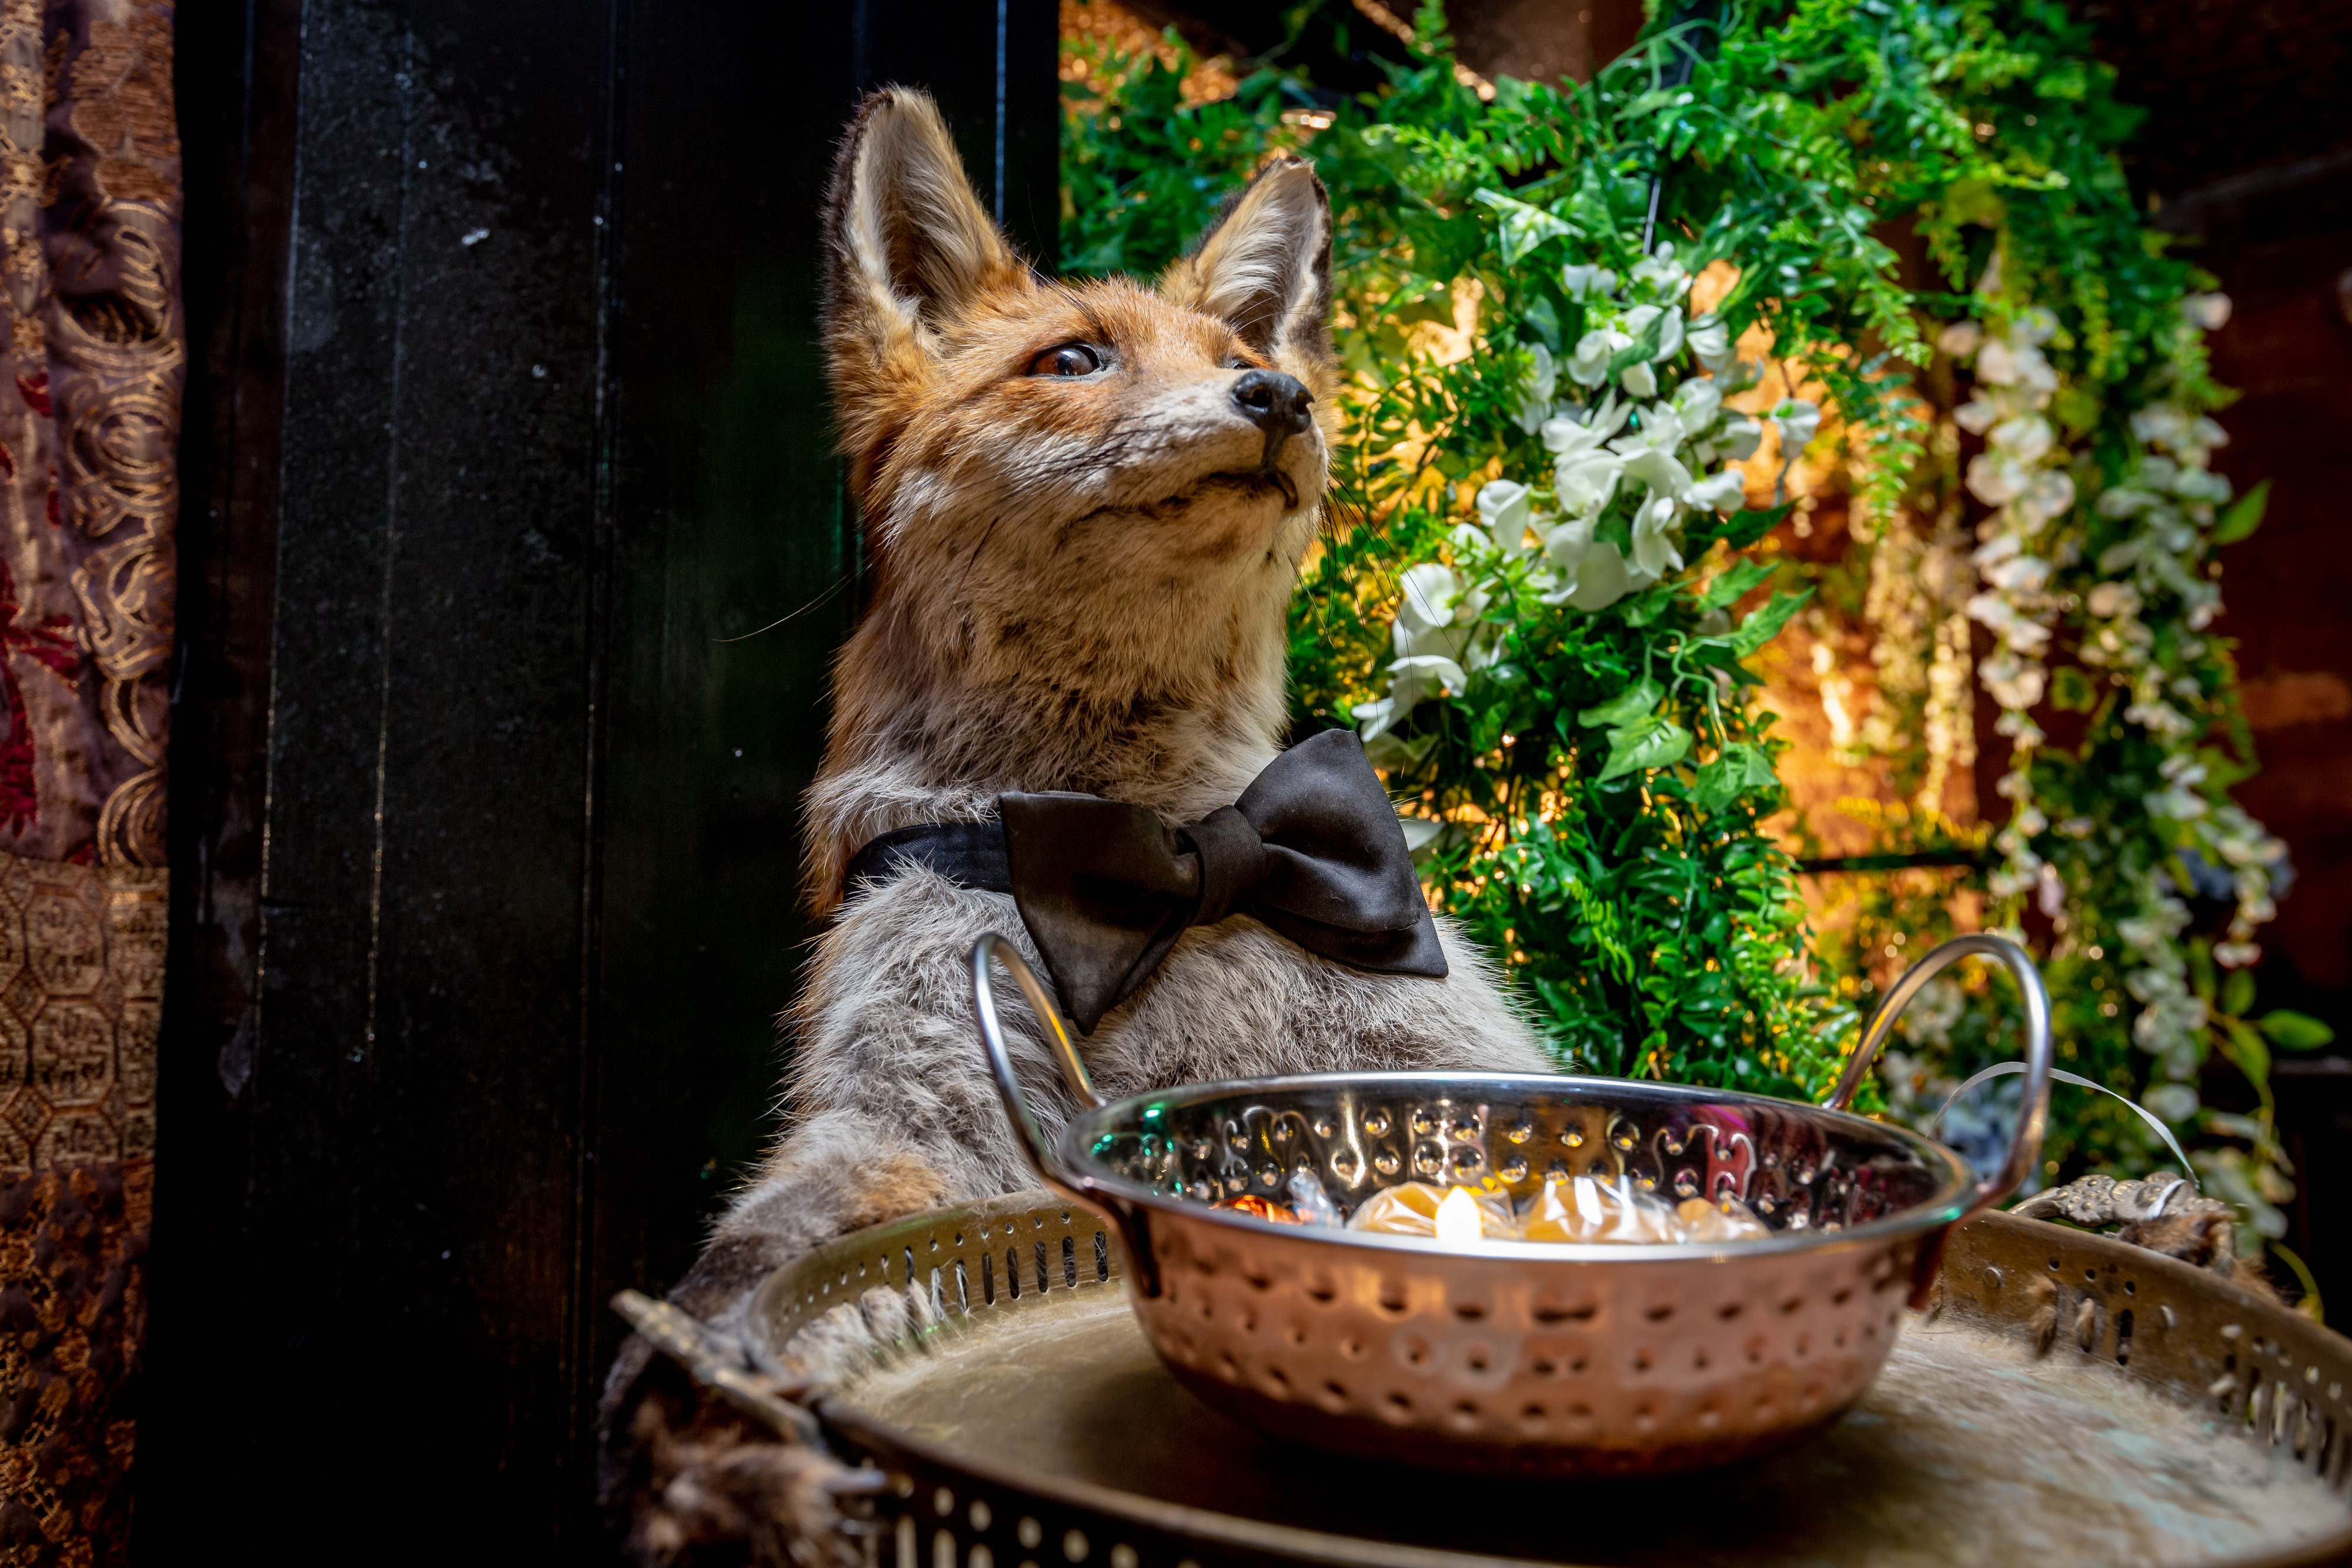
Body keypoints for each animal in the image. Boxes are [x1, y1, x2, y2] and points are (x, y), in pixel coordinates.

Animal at [602, 86, 1550, 1558]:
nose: (1274, 395)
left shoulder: (1441, 1063)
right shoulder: (912, 1113)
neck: (1172, 866)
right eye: (1070, 359)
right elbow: (748, 1268)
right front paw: (700, 1435)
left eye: (1238, 354)